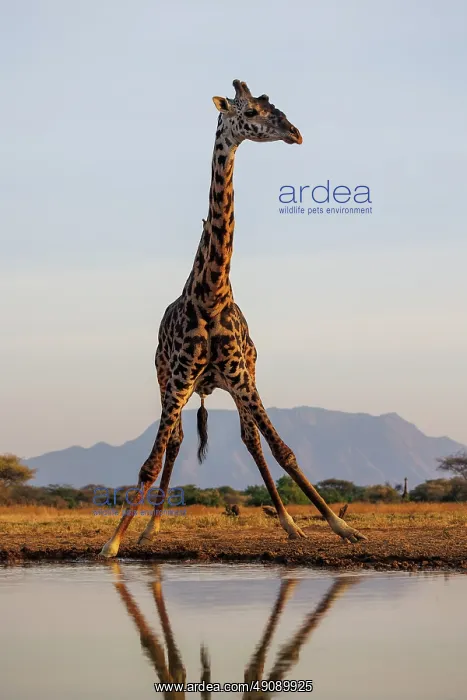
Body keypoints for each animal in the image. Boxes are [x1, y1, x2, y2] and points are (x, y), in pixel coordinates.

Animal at [100, 79, 367, 558]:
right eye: (250, 111)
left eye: (274, 106)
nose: (296, 133)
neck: (210, 294)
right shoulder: (178, 378)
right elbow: (150, 463)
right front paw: (112, 543)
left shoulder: (243, 376)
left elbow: (283, 449)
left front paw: (342, 526)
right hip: (170, 382)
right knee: (175, 442)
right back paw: (150, 528)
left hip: (240, 379)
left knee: (251, 440)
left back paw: (290, 525)